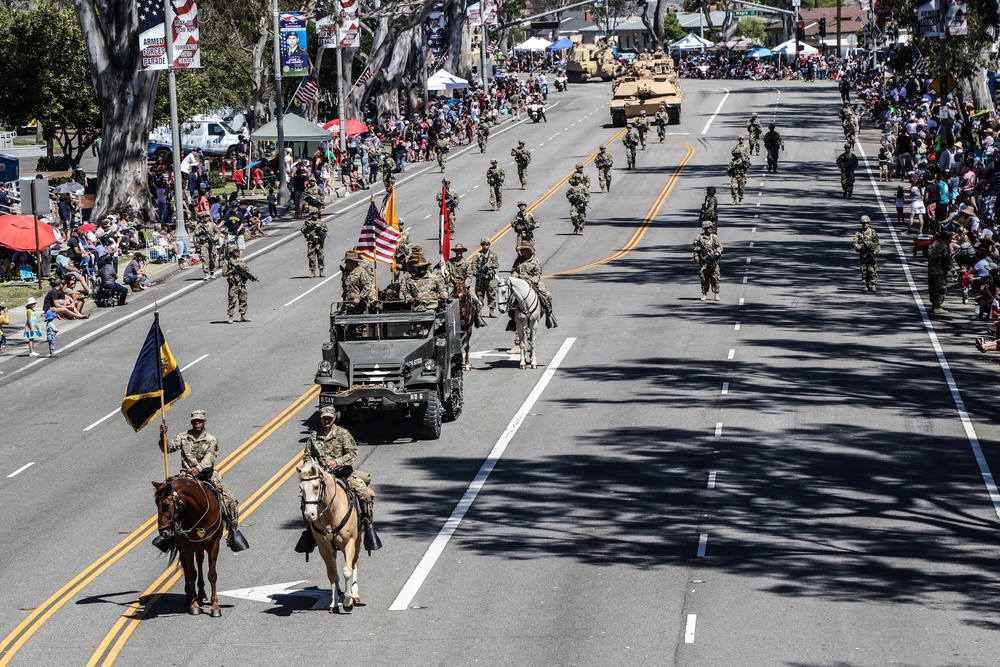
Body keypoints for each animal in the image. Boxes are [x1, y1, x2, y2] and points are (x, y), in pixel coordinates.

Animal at [151, 478, 224, 620]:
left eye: (166, 504)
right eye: (156, 503)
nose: (163, 532)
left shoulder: (214, 545)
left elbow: (212, 574)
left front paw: (215, 607)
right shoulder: (187, 547)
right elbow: (191, 573)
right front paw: (194, 605)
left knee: (200, 560)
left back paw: (202, 593)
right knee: (186, 566)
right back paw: (190, 595)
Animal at [296, 462, 364, 612]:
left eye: (316, 487)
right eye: (301, 488)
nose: (310, 514)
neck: (331, 513)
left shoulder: (349, 542)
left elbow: (347, 570)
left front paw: (348, 601)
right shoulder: (324, 548)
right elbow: (331, 573)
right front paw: (334, 602)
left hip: (358, 541)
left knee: (355, 562)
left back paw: (355, 593)